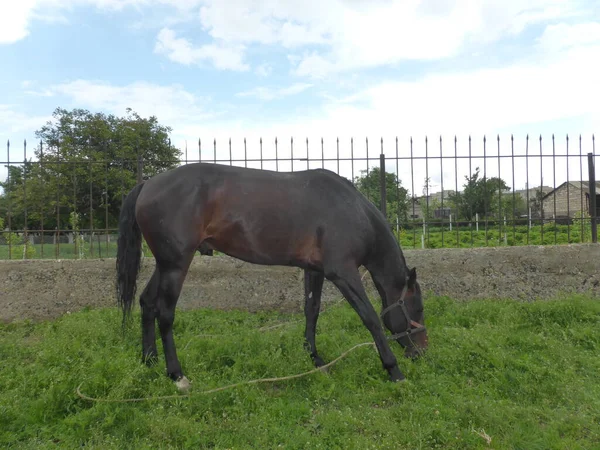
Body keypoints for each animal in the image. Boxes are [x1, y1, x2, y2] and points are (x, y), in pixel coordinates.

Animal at [116, 162, 426, 390]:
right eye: (417, 308)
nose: (421, 352)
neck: (352, 210)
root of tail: (148, 184)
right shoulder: (343, 273)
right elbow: (370, 318)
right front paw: (394, 370)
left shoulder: (315, 269)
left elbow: (312, 310)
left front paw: (315, 358)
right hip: (176, 264)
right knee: (165, 314)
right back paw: (177, 375)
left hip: (164, 264)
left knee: (147, 302)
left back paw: (149, 360)